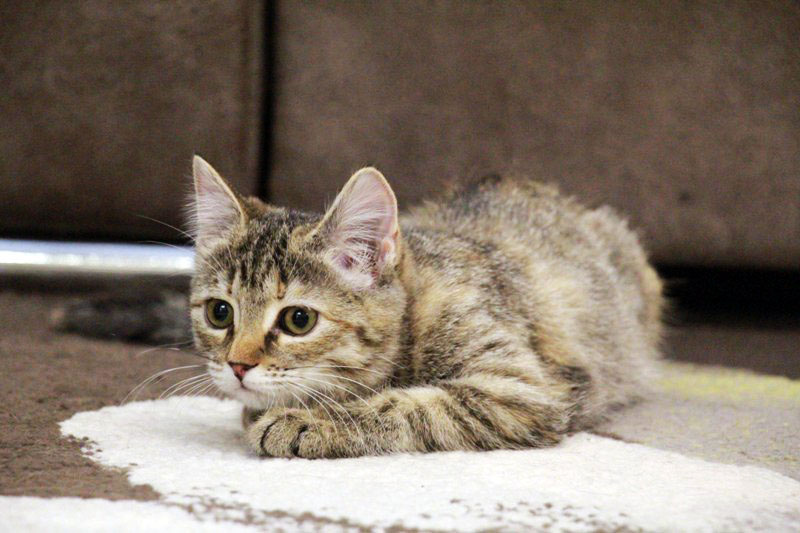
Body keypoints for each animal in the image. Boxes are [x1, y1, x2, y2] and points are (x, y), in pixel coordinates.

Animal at [188, 156, 663, 458]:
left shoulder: (522, 389)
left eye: (298, 320)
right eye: (219, 313)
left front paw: (308, 421)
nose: (237, 366)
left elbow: (409, 405)